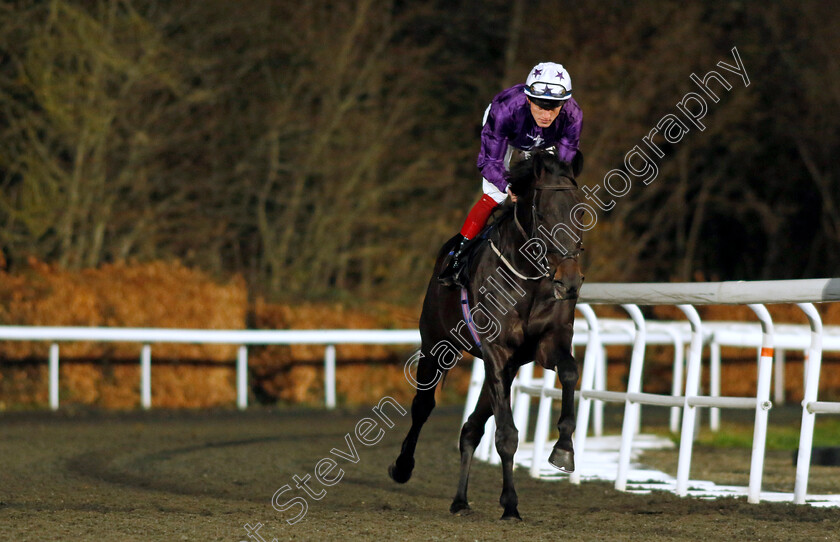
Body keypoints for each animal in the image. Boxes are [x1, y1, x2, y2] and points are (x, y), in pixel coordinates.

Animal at [388, 150, 584, 524]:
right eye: (544, 213)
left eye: (580, 211)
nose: (570, 281)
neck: (529, 278)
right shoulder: (496, 350)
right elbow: (507, 434)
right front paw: (510, 503)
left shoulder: (545, 344)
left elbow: (569, 371)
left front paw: (563, 448)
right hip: (437, 345)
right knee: (423, 406)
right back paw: (403, 467)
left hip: (507, 368)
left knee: (471, 428)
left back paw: (460, 500)